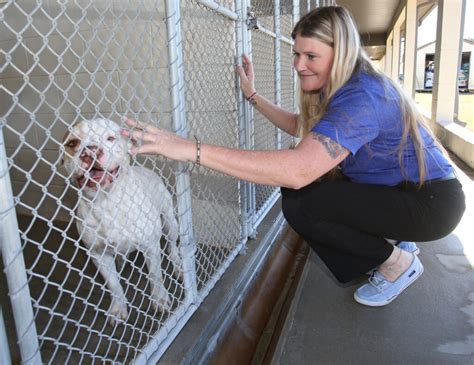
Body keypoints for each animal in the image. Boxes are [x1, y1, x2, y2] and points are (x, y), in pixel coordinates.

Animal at [62, 118, 181, 322]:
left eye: (111, 138)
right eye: (72, 143)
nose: (90, 151)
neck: (106, 202)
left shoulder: (150, 245)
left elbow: (155, 276)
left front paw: (160, 299)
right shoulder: (98, 254)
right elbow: (114, 285)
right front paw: (118, 308)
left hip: (169, 222)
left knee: (172, 245)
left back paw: (178, 264)